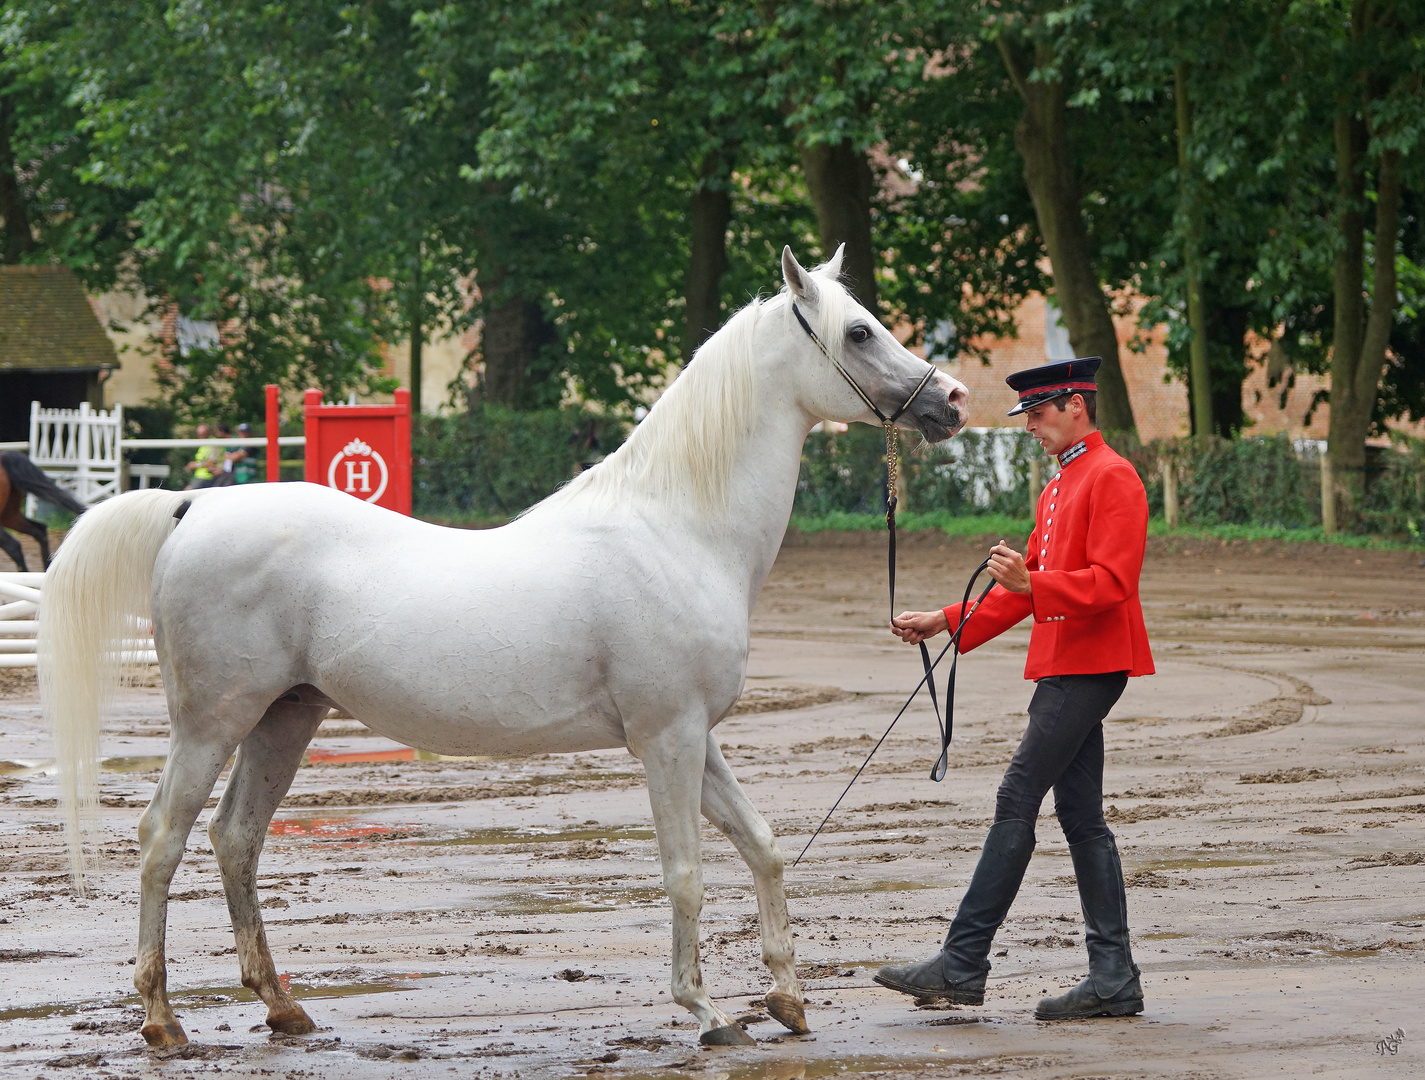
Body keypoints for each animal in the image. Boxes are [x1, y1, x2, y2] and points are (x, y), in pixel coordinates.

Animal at [41, 245, 968, 1048]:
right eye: (859, 331)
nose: (953, 401)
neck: (677, 530)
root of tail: (193, 505)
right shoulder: (665, 739)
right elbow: (686, 871)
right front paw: (706, 1011)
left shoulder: (695, 737)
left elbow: (764, 846)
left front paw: (787, 998)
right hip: (213, 724)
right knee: (162, 839)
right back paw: (162, 1019)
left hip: (286, 719)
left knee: (236, 839)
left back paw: (283, 1007)